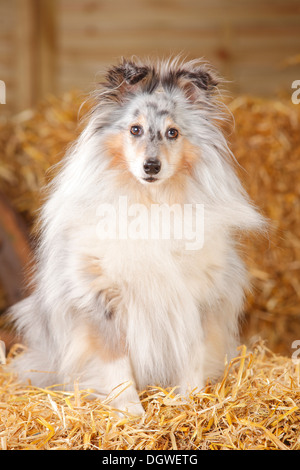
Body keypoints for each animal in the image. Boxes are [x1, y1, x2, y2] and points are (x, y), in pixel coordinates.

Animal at [8, 57, 264, 414]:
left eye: (173, 132)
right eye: (135, 129)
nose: (151, 166)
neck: (151, 202)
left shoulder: (196, 297)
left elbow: (192, 355)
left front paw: (189, 404)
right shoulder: (101, 299)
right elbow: (116, 364)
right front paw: (130, 412)